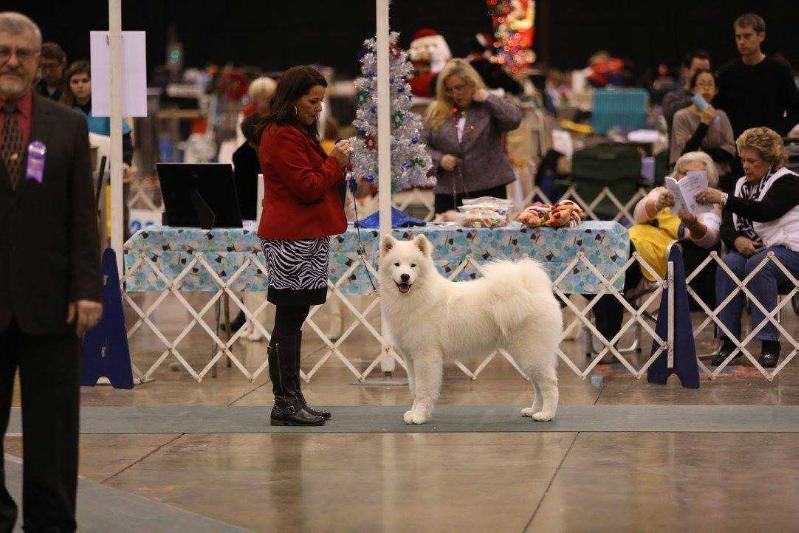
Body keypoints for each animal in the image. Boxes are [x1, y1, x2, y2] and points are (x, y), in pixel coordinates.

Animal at [380, 234, 564, 424]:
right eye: (396, 264)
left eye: (413, 265)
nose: (405, 276)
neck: (415, 298)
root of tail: (532, 288)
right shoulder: (410, 357)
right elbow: (414, 388)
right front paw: (413, 412)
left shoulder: (426, 356)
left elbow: (424, 390)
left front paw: (419, 416)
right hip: (527, 357)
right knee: (537, 386)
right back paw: (533, 410)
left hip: (532, 354)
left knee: (549, 384)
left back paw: (546, 414)